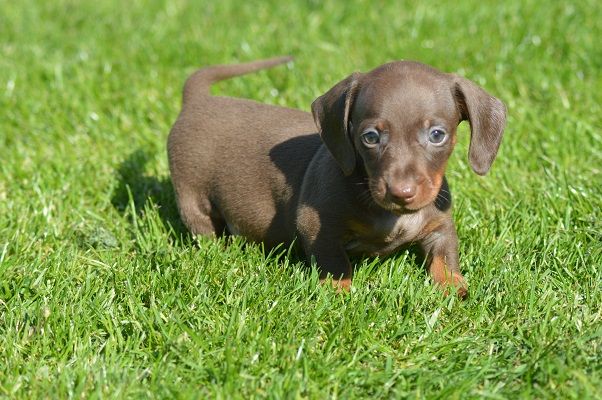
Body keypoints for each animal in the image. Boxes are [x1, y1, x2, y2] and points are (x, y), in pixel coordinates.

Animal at [166, 55, 504, 296]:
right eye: (370, 137)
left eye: (437, 135)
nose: (401, 193)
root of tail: (198, 100)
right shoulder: (316, 225)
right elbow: (334, 262)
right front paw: (338, 293)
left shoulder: (439, 225)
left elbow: (445, 256)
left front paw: (453, 286)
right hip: (192, 196)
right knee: (203, 229)